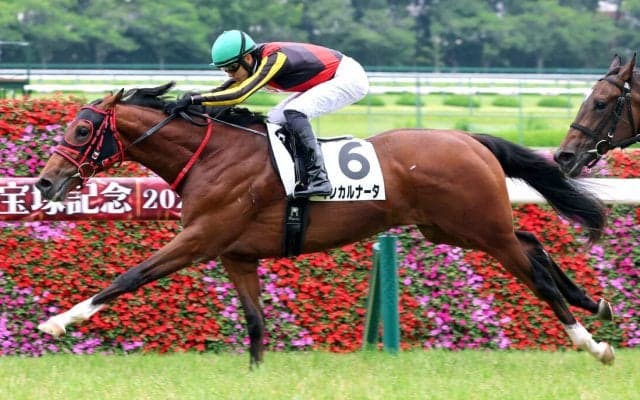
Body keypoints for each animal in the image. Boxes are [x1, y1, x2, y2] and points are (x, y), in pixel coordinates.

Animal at [35, 82, 615, 367]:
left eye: (82, 129)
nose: (44, 182)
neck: (211, 156)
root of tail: (469, 138)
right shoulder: (236, 254)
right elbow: (256, 324)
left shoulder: (199, 238)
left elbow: (130, 276)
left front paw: (58, 322)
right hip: (453, 227)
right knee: (533, 242)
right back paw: (596, 303)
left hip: (480, 228)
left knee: (535, 273)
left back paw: (592, 343)